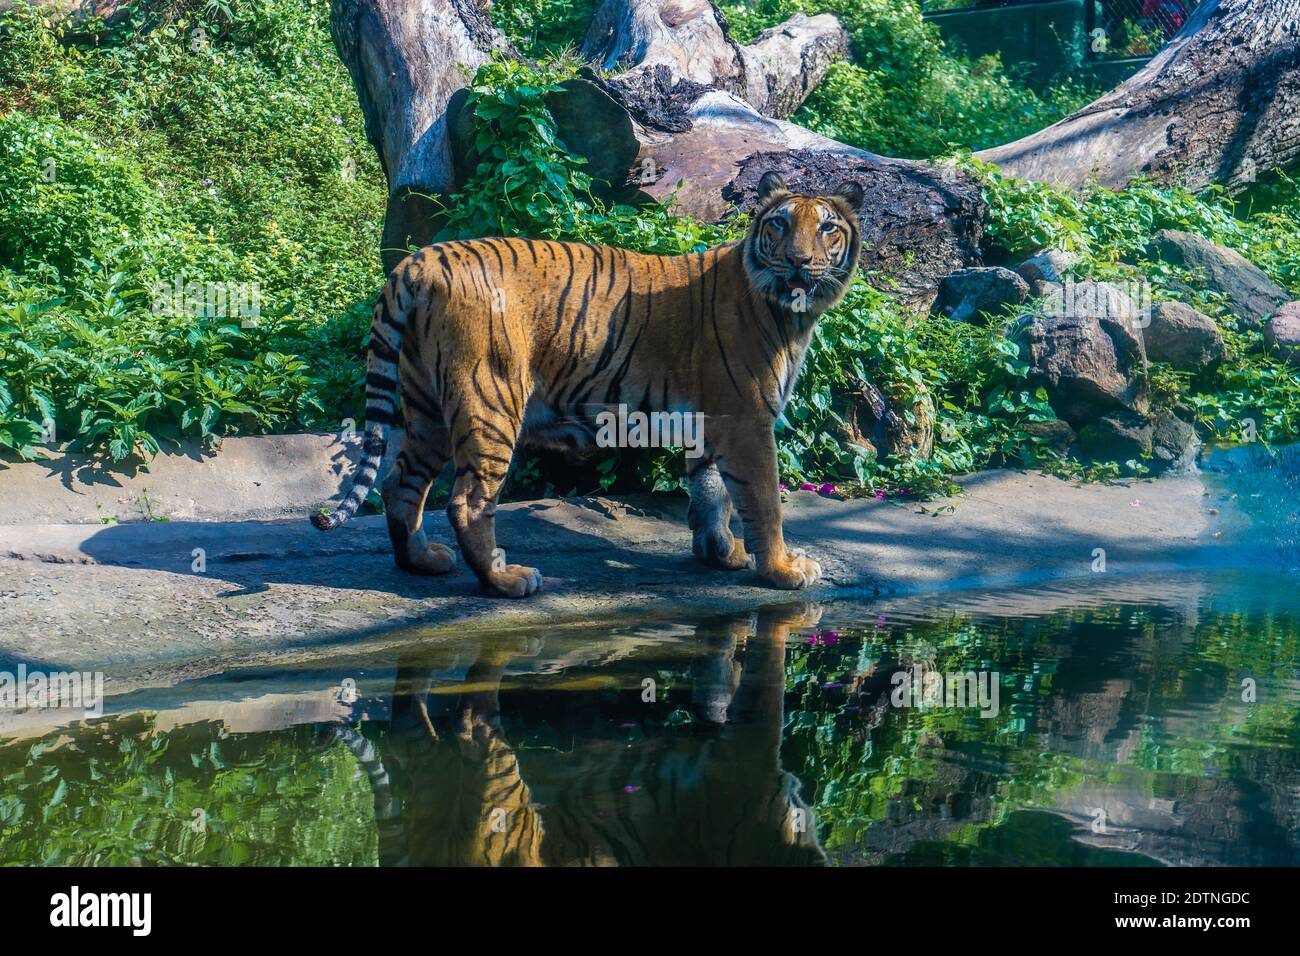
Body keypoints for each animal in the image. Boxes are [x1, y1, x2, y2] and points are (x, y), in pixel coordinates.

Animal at [311, 171, 864, 598]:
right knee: (467, 502)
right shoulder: (746, 420)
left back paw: (422, 561)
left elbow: (712, 493)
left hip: (426, 406)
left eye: (827, 228)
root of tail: (421, 258)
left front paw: (721, 554)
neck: (792, 314)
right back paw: (506, 581)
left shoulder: (710, 421)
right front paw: (782, 569)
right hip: (490, 401)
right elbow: (763, 500)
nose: (797, 261)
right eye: (780, 224)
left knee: (400, 481)